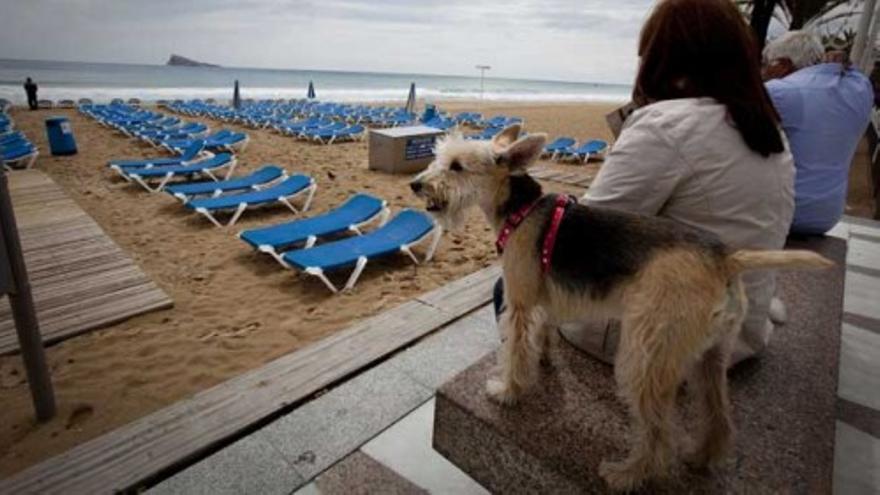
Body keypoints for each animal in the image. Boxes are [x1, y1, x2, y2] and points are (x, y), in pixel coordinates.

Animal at [410, 125, 828, 492]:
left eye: (457, 166)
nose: (416, 184)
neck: (521, 209)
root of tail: (725, 257)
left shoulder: (520, 304)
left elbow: (514, 352)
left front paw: (509, 391)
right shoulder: (544, 301)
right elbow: (541, 337)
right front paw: (543, 361)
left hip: (645, 355)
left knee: (659, 433)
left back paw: (627, 475)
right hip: (710, 355)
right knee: (719, 417)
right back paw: (701, 458)